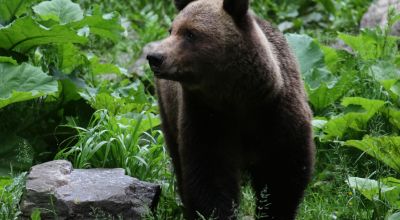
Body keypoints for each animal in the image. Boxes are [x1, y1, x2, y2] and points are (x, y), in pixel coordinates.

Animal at [147, 0, 316, 218]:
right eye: (172, 30)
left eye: (190, 33)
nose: (155, 57)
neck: (239, 98)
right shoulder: (206, 115)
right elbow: (209, 174)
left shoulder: (277, 114)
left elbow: (282, 174)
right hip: (168, 110)